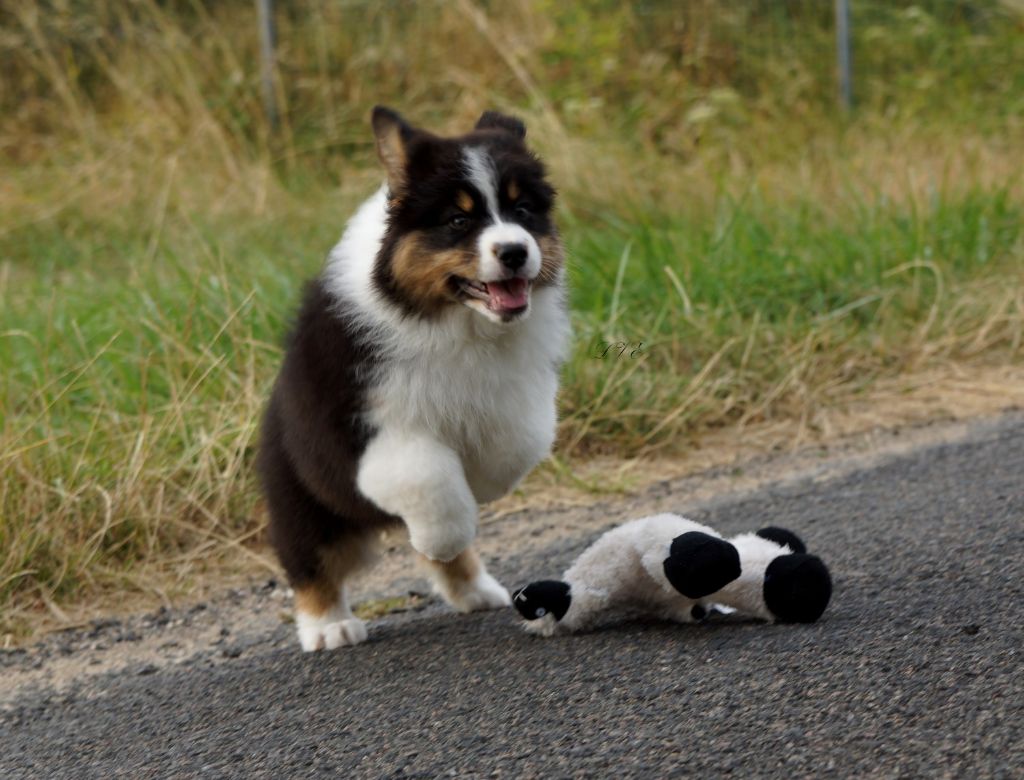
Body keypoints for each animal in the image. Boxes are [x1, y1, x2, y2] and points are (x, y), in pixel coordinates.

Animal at [258, 107, 570, 651]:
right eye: (458, 220)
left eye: (524, 210)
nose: (514, 251)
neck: (456, 321)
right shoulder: (368, 426)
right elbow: (430, 477)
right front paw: (440, 533)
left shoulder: (514, 393)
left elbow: (513, 446)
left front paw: (479, 487)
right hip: (301, 492)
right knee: (310, 559)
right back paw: (329, 626)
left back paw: (475, 590)